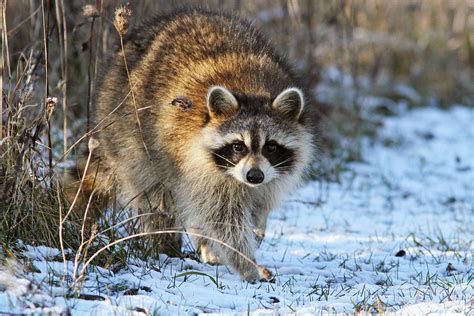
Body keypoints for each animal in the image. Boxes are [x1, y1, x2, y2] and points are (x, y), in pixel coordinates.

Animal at [79, 9, 314, 282]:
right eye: (238, 147)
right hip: (128, 137)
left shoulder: (271, 175)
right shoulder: (200, 167)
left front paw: (254, 231)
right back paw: (164, 242)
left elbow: (257, 206)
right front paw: (245, 262)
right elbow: (224, 220)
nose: (254, 176)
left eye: (271, 147)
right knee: (155, 196)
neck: (251, 88)